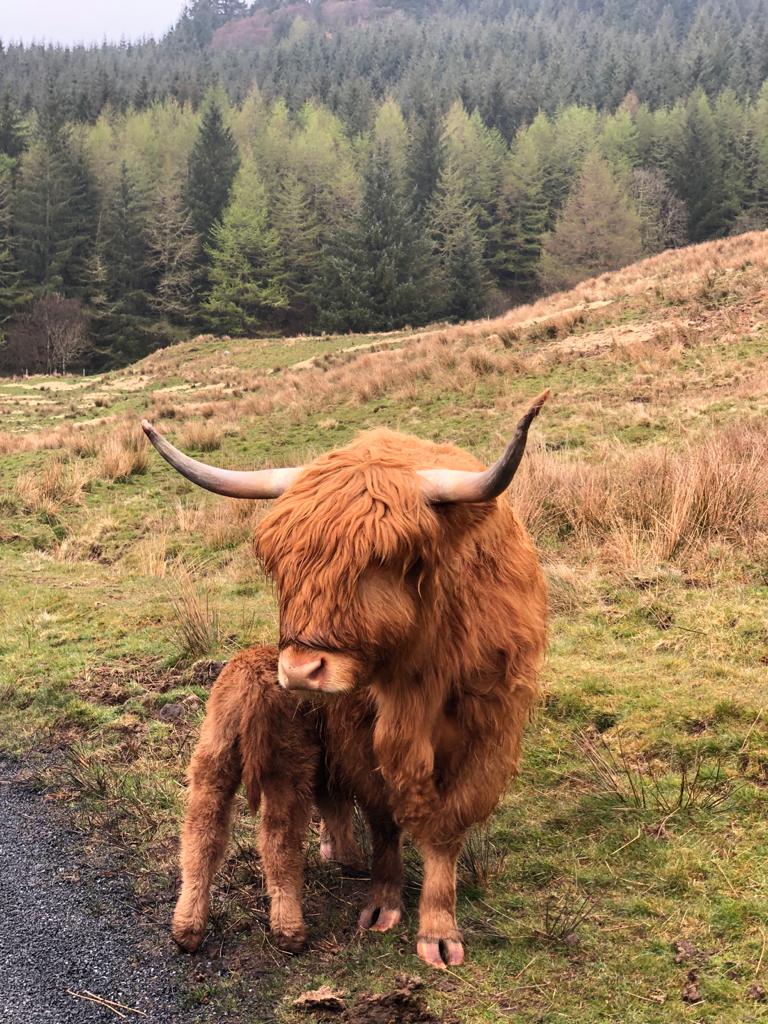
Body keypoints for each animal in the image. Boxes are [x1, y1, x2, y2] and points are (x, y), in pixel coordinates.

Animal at [141, 391, 548, 966]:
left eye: (386, 558)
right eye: (279, 563)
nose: (299, 669)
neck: (413, 681)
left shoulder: (490, 731)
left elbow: (446, 827)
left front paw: (437, 928)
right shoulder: (355, 733)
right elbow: (383, 818)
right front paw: (383, 902)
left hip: (224, 757)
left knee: (210, 824)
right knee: (267, 832)